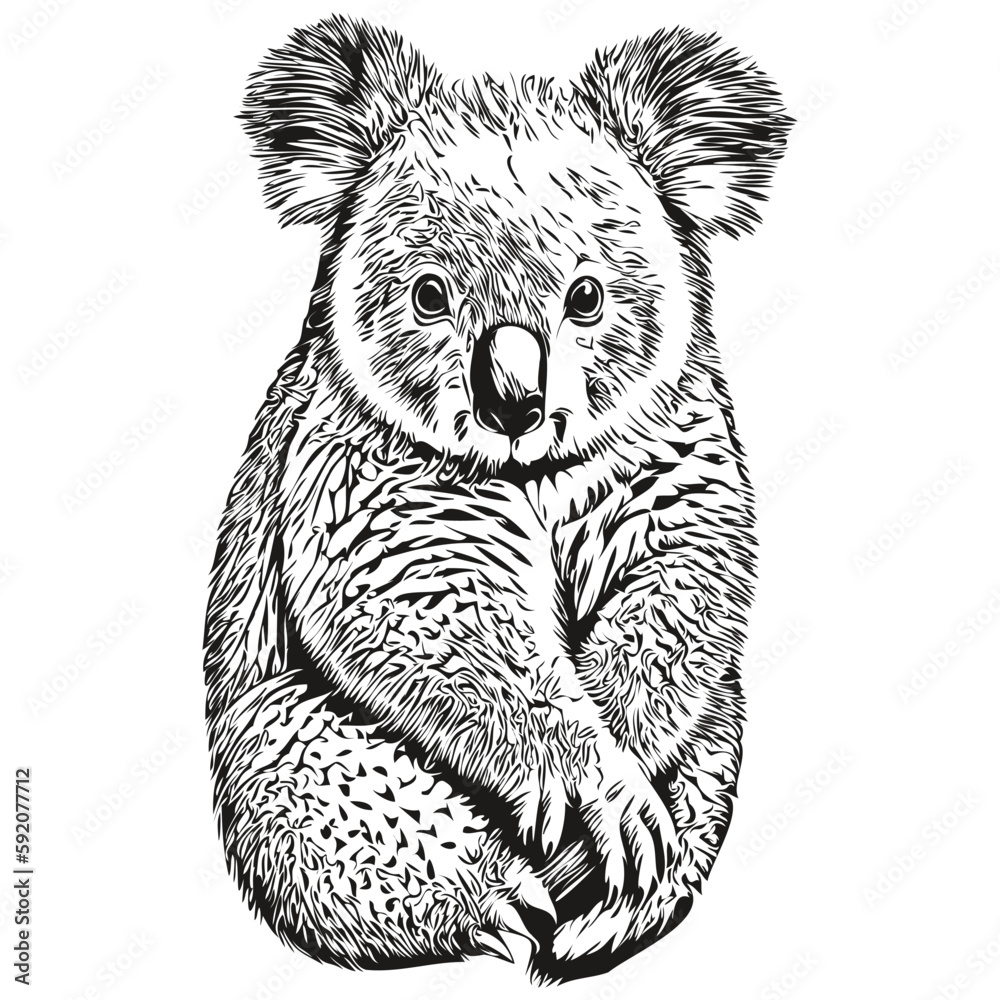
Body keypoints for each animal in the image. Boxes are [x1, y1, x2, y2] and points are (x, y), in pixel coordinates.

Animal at [204, 14, 790, 985]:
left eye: (586, 296)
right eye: (429, 294)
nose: (510, 401)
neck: (534, 473)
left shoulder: (672, 462)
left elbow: (677, 592)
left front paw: (623, 803)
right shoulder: (368, 484)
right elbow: (416, 612)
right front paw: (596, 791)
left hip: (721, 741)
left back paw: (606, 912)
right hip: (295, 754)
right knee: (331, 808)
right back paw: (502, 900)